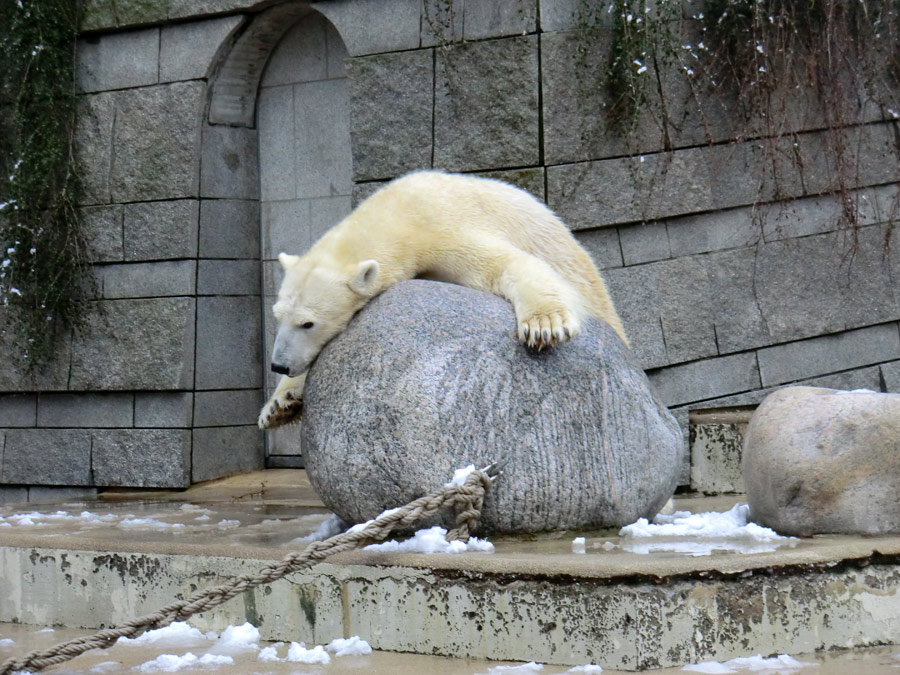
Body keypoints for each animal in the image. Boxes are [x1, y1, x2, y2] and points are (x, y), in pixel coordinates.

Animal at [258, 172, 624, 430]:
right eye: (277, 316)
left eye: (308, 323)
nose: (279, 365)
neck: (400, 212)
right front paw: (278, 405)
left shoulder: (444, 228)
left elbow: (508, 264)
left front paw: (545, 326)